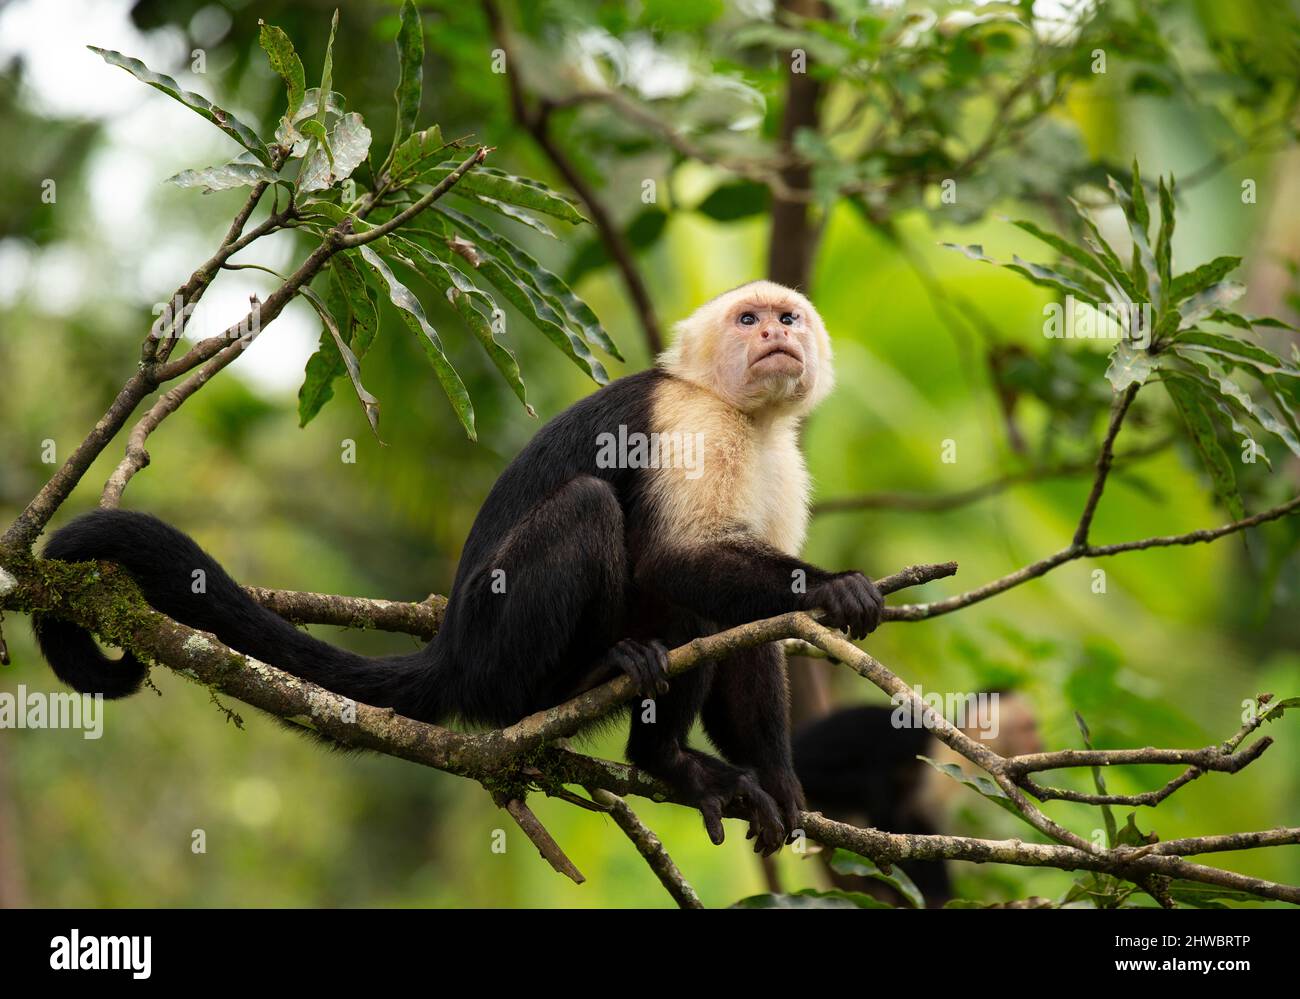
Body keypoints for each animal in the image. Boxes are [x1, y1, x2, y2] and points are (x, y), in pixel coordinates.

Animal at [35, 283, 883, 858]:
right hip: (493, 642)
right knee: (591, 517)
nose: (775, 332)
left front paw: (779, 778)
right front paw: (835, 585)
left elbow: (755, 628)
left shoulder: (780, 459)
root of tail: (449, 648)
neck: (740, 411)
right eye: (747, 319)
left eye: (788, 317)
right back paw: (628, 731)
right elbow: (679, 561)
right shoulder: (689, 422)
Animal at [785, 697, 1040, 905]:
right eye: (1027, 727)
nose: (1039, 743)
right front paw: (936, 893)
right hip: (808, 778)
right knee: (876, 784)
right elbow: (919, 813)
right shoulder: (940, 761)